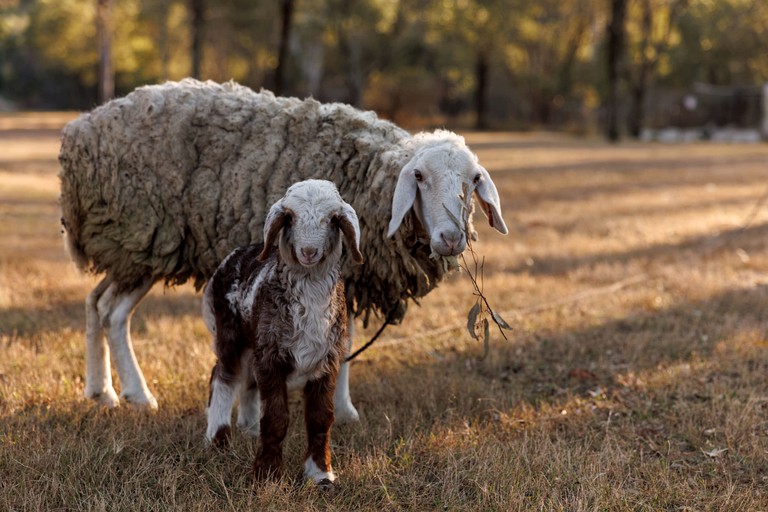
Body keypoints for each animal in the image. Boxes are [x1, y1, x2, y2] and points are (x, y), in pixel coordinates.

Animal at [60, 77, 510, 420]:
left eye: (473, 179)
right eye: (418, 176)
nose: (450, 238)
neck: (372, 178)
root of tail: (78, 131)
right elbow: (343, 340)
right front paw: (342, 409)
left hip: (130, 247)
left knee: (95, 303)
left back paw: (101, 390)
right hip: (139, 235)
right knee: (113, 313)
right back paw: (137, 394)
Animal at [202, 180, 362, 488]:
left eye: (332, 220)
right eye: (290, 218)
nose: (309, 251)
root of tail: (235, 254)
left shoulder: (326, 361)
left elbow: (320, 418)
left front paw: (320, 474)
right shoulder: (271, 357)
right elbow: (276, 418)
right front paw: (267, 475)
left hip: (253, 342)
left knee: (247, 382)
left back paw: (249, 430)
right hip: (229, 332)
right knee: (223, 377)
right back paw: (217, 438)